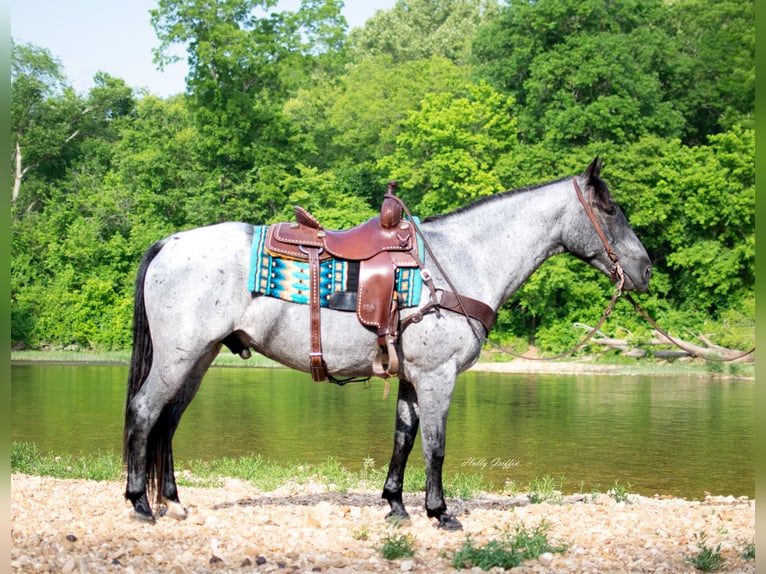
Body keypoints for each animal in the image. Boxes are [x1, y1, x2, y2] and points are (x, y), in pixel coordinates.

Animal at [123, 158, 652, 532]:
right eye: (611, 209)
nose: (645, 270)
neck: (459, 262)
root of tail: (169, 243)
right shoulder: (438, 376)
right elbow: (435, 445)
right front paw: (440, 512)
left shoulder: (413, 378)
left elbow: (404, 437)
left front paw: (396, 505)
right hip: (177, 358)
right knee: (145, 413)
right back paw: (140, 503)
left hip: (198, 359)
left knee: (167, 422)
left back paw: (172, 501)